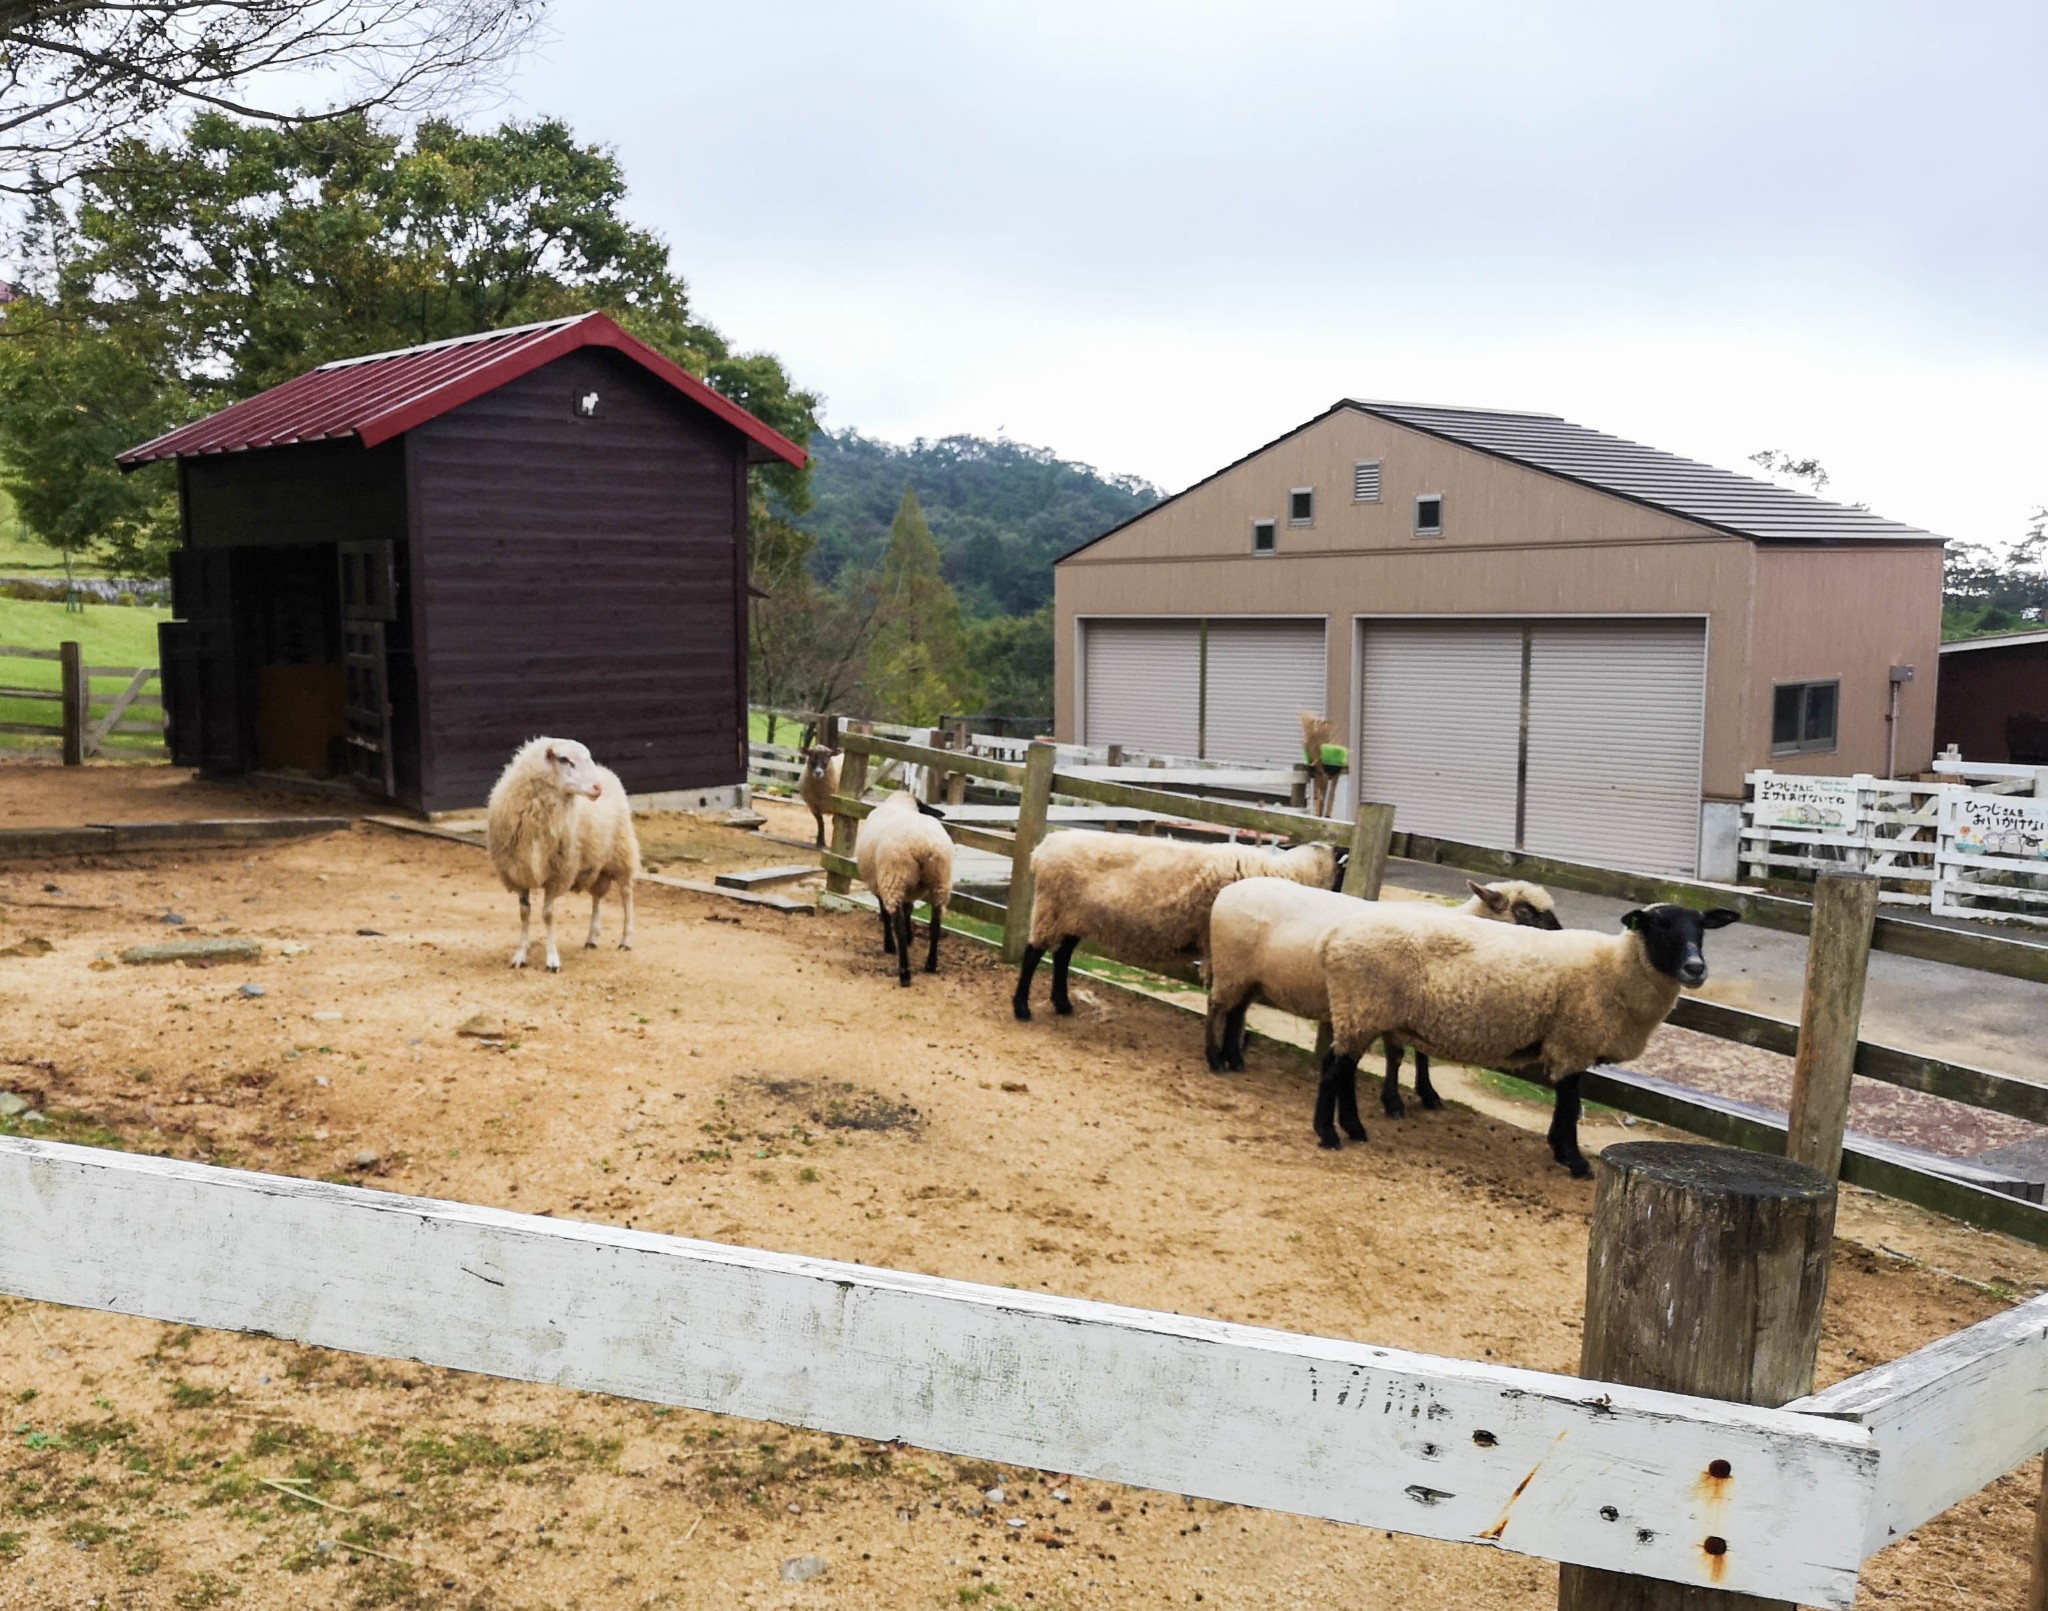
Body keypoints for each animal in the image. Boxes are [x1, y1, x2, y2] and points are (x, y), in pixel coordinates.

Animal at [485, 736, 638, 978]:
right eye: (565, 759)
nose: (598, 788)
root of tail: (607, 772)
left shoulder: (555, 875)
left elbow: (547, 915)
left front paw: (552, 960)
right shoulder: (519, 873)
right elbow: (524, 913)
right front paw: (520, 955)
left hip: (621, 853)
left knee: (626, 893)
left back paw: (626, 939)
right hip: (597, 864)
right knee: (597, 898)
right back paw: (592, 937)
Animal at [851, 790, 954, 990]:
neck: (902, 803)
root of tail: (923, 845)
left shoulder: (879, 884)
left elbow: (886, 914)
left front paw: (890, 945)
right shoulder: (909, 891)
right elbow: (909, 910)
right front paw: (911, 937)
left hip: (893, 879)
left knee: (898, 926)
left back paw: (904, 973)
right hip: (940, 882)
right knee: (935, 925)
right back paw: (931, 964)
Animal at [1011, 831, 1343, 1019]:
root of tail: (1044, 847)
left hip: (1072, 916)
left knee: (1062, 955)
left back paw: (1062, 1004)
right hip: (1051, 908)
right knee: (1032, 953)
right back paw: (1022, 1008)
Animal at [1310, 908, 1744, 1170]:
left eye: (1701, 928)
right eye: (1658, 926)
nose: (1695, 968)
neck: (1617, 968)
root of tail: (1333, 938)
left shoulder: (1568, 1045)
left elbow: (1566, 1103)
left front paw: (1560, 1149)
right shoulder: (1573, 1041)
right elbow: (1569, 1104)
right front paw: (1574, 1161)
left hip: (1362, 1012)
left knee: (1343, 1069)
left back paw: (1354, 1128)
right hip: (1362, 1005)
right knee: (1334, 1069)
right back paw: (1329, 1134)